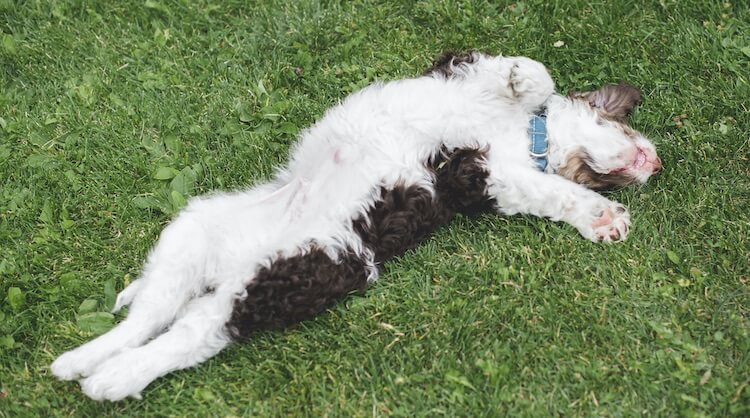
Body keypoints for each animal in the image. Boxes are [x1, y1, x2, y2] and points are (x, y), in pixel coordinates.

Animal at [53, 50, 664, 400]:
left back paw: (107, 378)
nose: (654, 163)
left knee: (192, 333)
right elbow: (533, 75)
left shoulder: (480, 178)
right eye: (623, 126)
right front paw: (521, 76)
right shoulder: (463, 101)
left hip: (293, 270)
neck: (522, 135)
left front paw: (602, 219)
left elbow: (550, 192)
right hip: (196, 230)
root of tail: (225, 271)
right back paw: (82, 361)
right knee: (150, 316)